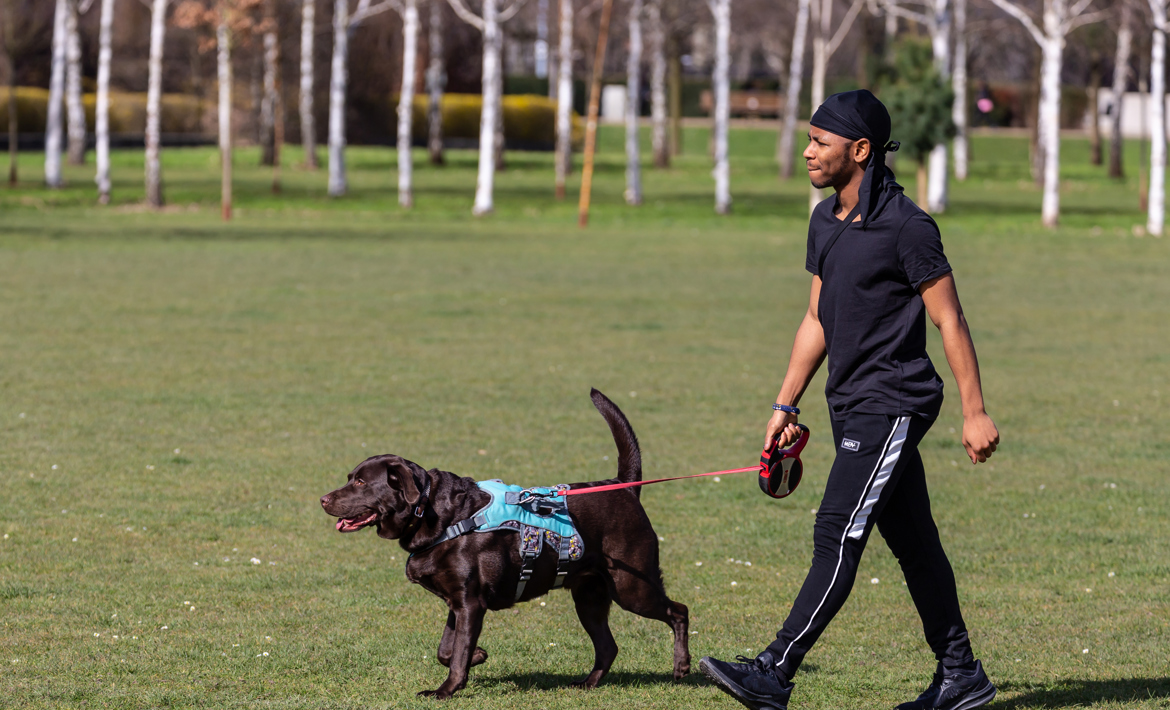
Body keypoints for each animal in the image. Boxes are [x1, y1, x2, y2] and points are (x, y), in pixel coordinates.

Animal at [315, 390, 687, 701]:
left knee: (678, 611)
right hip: (589, 596)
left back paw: (681, 666)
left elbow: (456, 654)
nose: (322, 499)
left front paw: (445, 691)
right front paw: (478, 656)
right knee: (608, 647)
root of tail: (624, 486)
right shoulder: (458, 603)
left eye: (360, 482)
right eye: (350, 478)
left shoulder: (470, 603)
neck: (436, 514)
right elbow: (448, 649)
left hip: (631, 586)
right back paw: (588, 683)